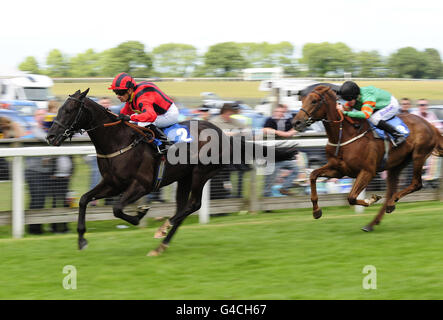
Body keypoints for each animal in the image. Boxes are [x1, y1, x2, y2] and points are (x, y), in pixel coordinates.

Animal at [46, 89, 298, 256]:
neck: (118, 141)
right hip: (184, 177)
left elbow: (118, 209)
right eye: (58, 108)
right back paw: (161, 245)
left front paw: (139, 214)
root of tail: (224, 135)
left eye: (69, 110)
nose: (50, 136)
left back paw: (162, 229)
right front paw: (81, 239)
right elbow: (83, 199)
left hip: (200, 174)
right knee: (182, 208)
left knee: (193, 205)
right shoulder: (112, 183)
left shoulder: (141, 185)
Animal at [294, 85, 442, 230]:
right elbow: (313, 175)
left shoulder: (368, 171)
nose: (296, 122)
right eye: (302, 100)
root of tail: (430, 125)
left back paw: (391, 202)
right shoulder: (339, 170)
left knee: (416, 184)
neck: (346, 135)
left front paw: (372, 199)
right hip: (396, 165)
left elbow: (351, 197)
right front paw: (316, 211)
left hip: (419, 155)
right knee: (391, 191)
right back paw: (373, 222)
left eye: (314, 101)